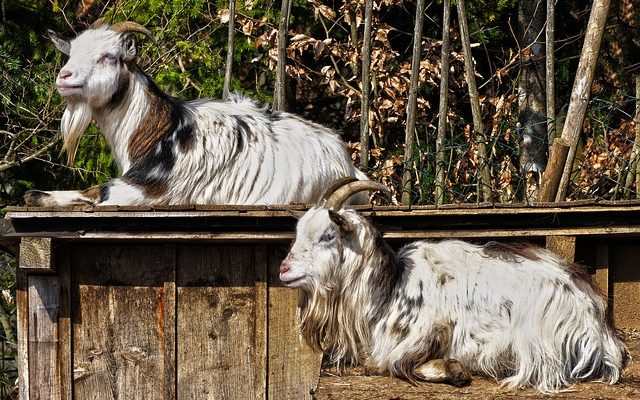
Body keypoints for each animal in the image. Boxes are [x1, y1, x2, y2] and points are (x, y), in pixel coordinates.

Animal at [25, 21, 368, 206]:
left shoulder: (144, 192)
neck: (159, 130)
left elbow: (99, 191)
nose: (64, 77)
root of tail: (347, 162)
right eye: (71, 53)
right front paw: (38, 195)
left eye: (107, 56)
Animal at [282, 180, 632, 392]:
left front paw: (455, 371)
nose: (284, 269)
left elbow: (396, 364)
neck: (390, 290)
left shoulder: (428, 333)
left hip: (534, 338)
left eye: (328, 235)